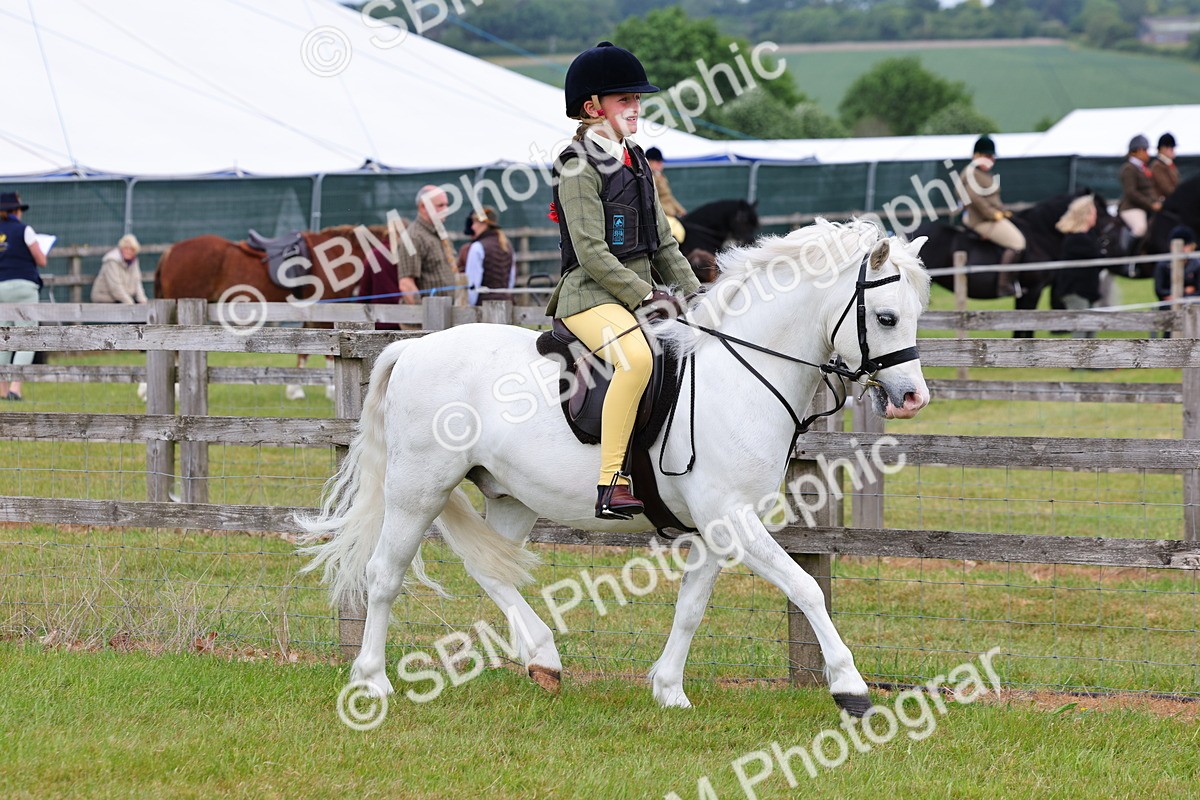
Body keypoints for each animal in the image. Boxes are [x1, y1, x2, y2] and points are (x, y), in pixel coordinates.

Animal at [297, 218, 932, 716]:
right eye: (887, 317)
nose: (912, 398)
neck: (739, 375)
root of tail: (414, 347)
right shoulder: (732, 518)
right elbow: (806, 588)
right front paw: (850, 688)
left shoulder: (720, 526)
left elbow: (691, 607)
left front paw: (669, 689)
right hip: (417, 488)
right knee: (384, 574)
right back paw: (373, 681)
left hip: (510, 497)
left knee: (492, 569)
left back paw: (544, 659)